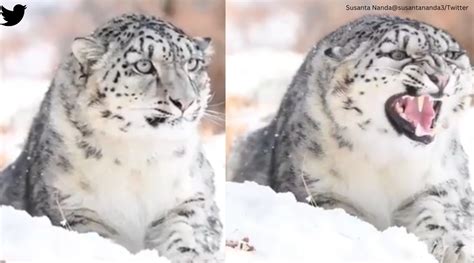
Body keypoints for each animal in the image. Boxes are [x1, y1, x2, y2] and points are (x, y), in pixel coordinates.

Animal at [0, 14, 222, 263]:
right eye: (144, 65)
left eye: (192, 64)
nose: (186, 101)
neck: (141, 157)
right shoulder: (72, 208)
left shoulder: (190, 197)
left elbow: (190, 234)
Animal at [229, 14, 470, 263]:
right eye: (397, 54)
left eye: (451, 55)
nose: (441, 77)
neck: (388, 161)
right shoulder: (318, 190)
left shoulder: (440, 183)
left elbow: (440, 215)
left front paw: (454, 249)